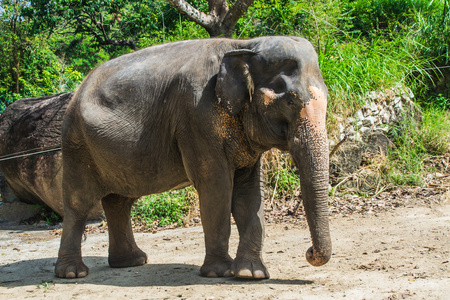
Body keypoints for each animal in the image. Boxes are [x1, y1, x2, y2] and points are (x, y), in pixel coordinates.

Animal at [55, 36, 330, 280]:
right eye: (290, 100)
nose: (309, 252)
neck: (245, 44)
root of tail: (78, 89)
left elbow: (249, 193)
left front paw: (250, 274)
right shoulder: (197, 117)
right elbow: (217, 187)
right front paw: (219, 272)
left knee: (119, 202)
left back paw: (132, 262)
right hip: (76, 144)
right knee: (78, 203)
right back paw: (73, 273)